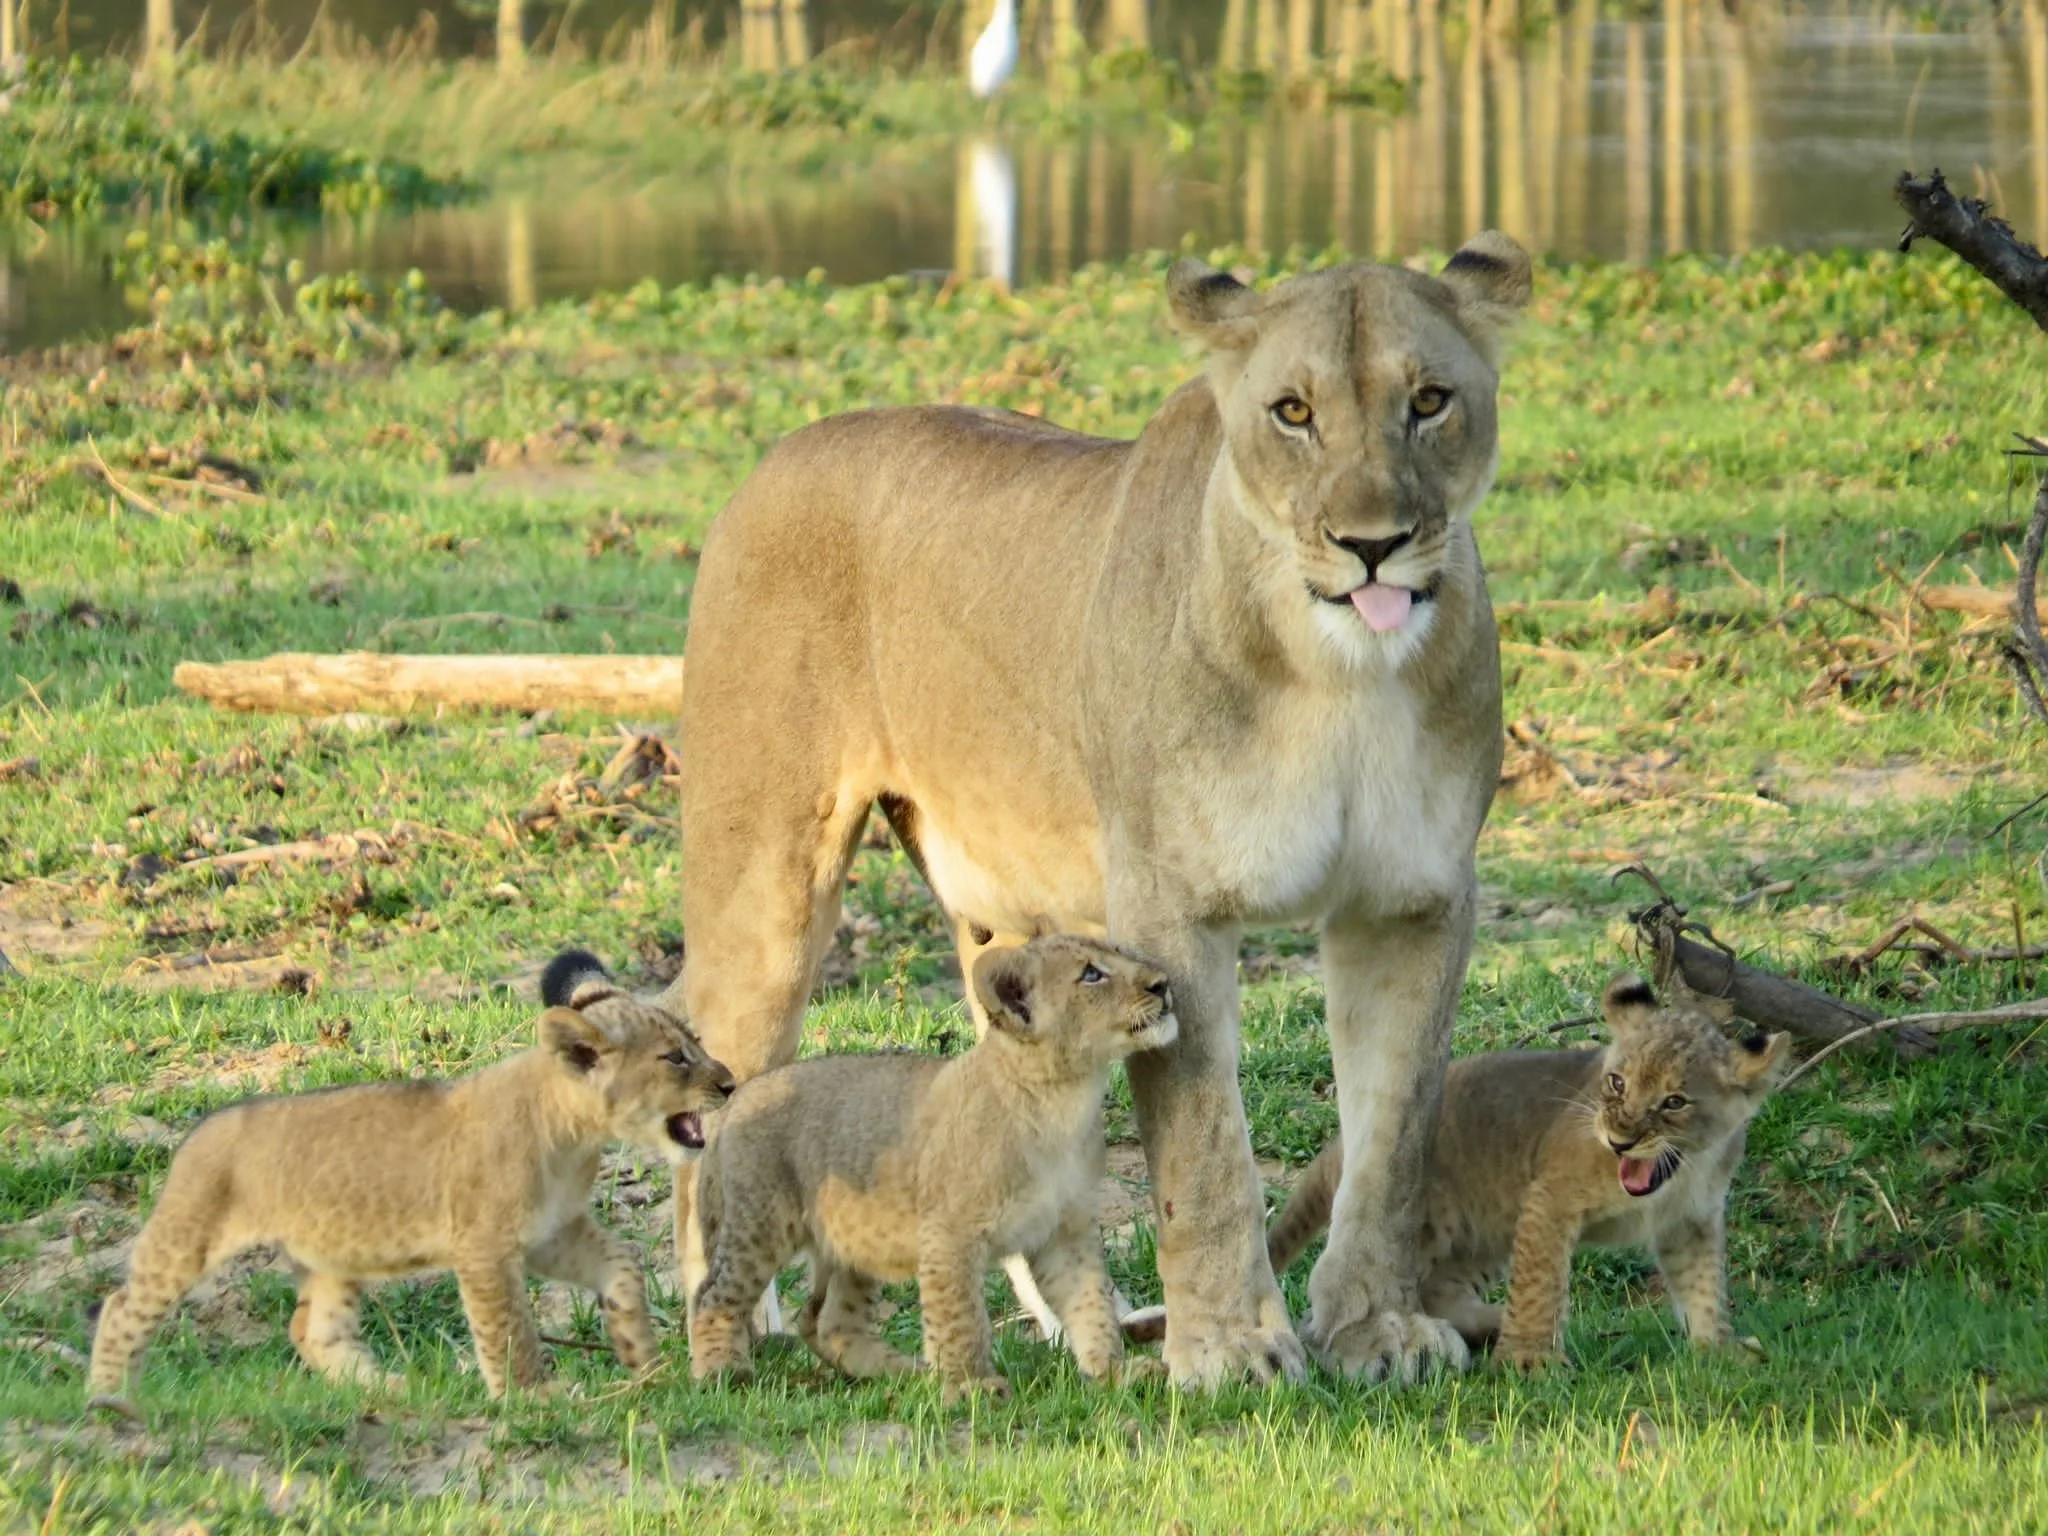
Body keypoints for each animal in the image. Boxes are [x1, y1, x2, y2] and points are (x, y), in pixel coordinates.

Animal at [85, 952, 733, 1413]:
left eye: (696, 1043)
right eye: (674, 1058)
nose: (728, 1083)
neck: (574, 1133)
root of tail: (200, 1128)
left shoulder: (553, 1232)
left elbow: (621, 1265)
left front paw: (643, 1359)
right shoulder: (484, 1247)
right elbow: (508, 1329)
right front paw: (532, 1397)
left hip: (333, 1256)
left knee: (311, 1330)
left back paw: (388, 1389)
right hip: (190, 1236)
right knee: (121, 1307)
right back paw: (110, 1399)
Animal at [686, 934, 1176, 1401]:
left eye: (1116, 951)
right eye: (1091, 974)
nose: (1163, 984)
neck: (1064, 1099)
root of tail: (737, 1100)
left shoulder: (1063, 1231)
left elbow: (1090, 1306)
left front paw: (1115, 1373)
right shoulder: (949, 1233)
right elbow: (961, 1316)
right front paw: (969, 1386)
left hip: (852, 1241)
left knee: (827, 1321)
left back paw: (904, 1372)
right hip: (760, 1223)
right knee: (713, 1295)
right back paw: (722, 1372)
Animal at [1255, 974, 1791, 1369]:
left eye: (1674, 1102)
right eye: (1617, 1083)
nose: (1620, 1140)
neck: (1683, 1170)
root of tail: (1340, 1145)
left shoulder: (1692, 1221)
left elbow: (1704, 1285)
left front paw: (1718, 1351)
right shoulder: (1551, 1197)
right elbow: (1540, 1284)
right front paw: (1530, 1361)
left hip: (1484, 1231)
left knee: (1438, 1289)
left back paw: (1488, 1324)